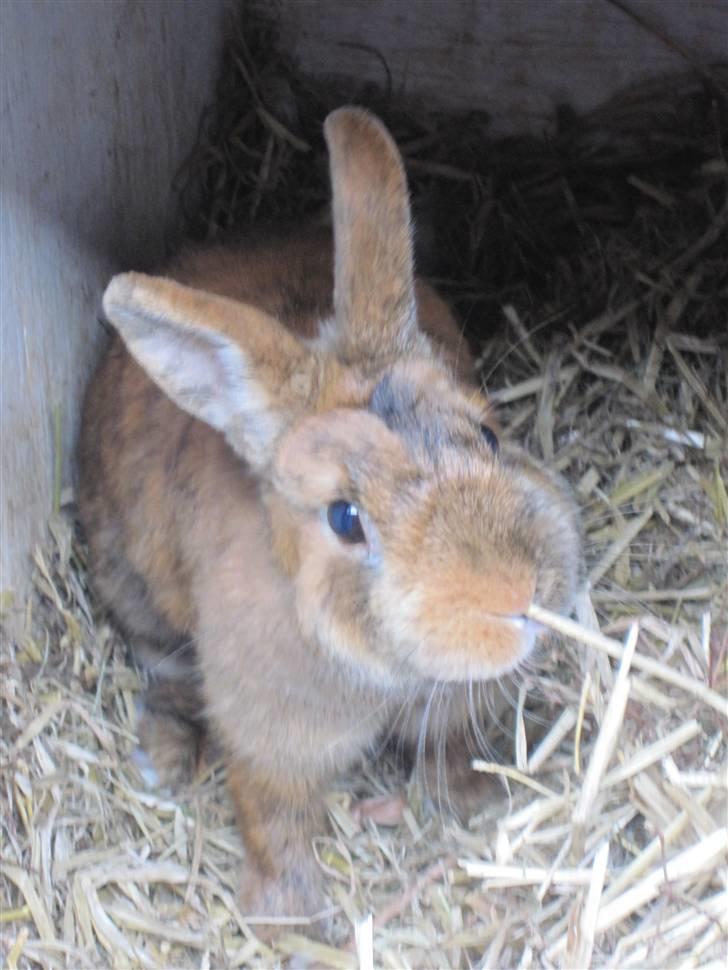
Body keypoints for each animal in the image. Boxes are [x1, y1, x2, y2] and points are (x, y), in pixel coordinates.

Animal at [78, 107, 582, 930]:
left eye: (487, 435)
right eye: (345, 518)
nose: (516, 595)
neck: (386, 668)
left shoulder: (453, 706)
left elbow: (452, 745)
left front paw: (473, 802)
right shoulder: (270, 734)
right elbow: (273, 813)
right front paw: (288, 917)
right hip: (134, 587)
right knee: (164, 663)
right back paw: (164, 754)